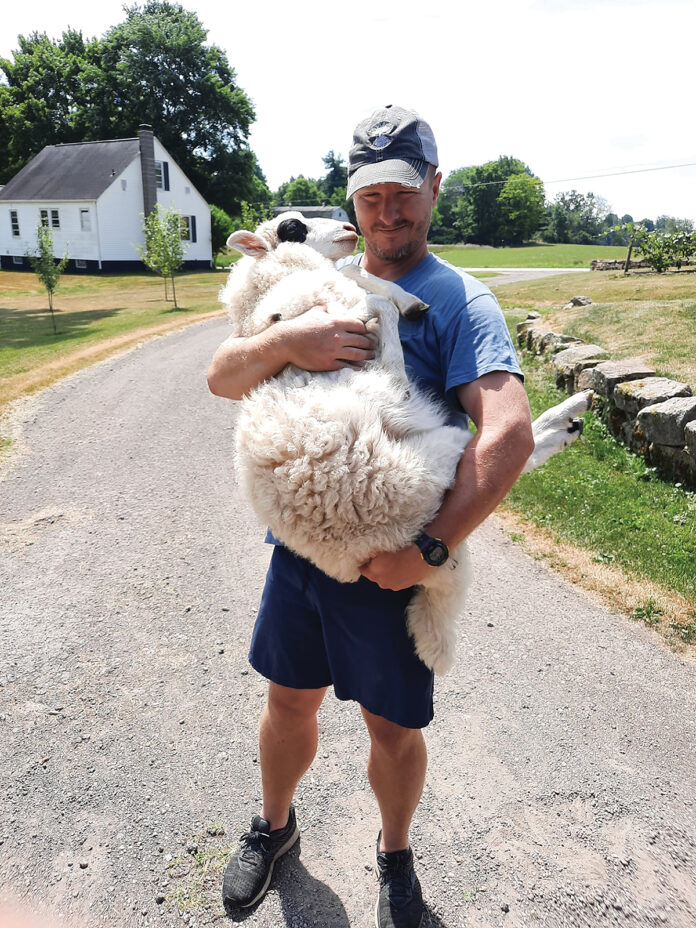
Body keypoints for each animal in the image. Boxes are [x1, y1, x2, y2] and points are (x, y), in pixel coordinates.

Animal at [220, 211, 592, 674]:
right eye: (293, 227)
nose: (351, 230)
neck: (274, 283)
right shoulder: (336, 311)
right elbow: (372, 300)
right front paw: (396, 301)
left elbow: (361, 276)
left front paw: (408, 298)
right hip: (432, 455)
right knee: (511, 448)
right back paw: (566, 418)